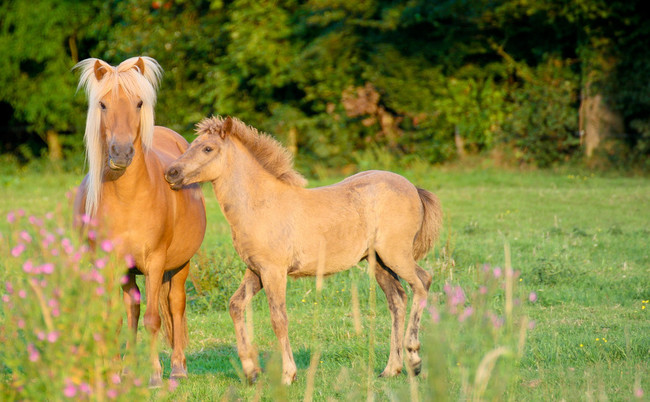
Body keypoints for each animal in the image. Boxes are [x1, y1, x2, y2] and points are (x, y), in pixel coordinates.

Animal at [165, 115, 442, 384]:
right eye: (190, 145)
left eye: (207, 148)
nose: (171, 172)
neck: (260, 205)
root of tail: (413, 188)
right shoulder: (255, 270)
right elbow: (235, 305)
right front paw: (251, 371)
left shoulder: (274, 271)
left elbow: (279, 319)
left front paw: (289, 374)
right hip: (378, 261)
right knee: (397, 299)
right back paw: (391, 369)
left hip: (395, 254)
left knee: (422, 283)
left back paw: (414, 358)